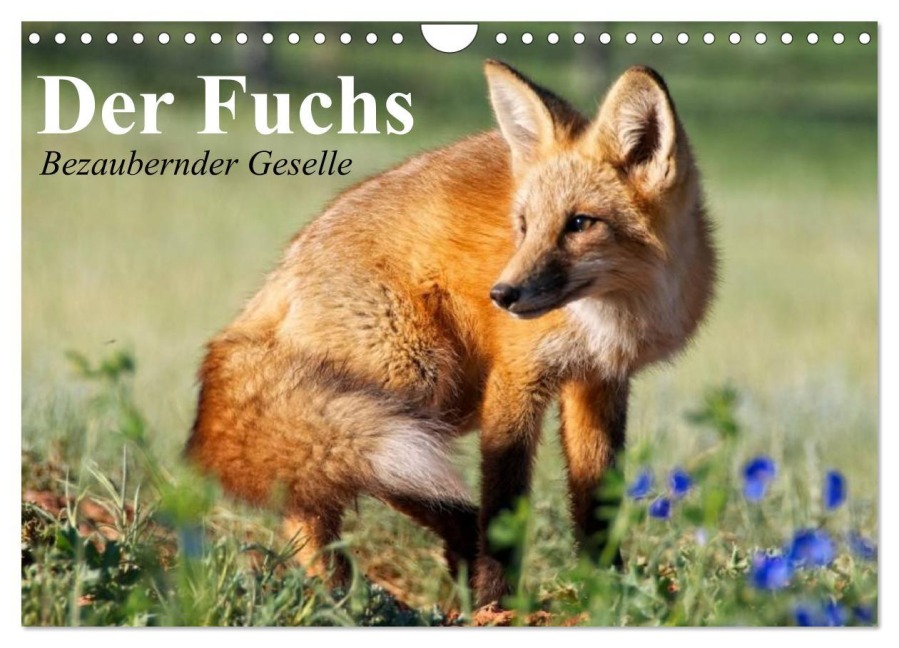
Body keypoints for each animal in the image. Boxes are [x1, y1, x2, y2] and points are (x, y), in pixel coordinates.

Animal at [185, 60, 717, 607]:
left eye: (580, 223)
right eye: (524, 225)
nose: (502, 295)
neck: (611, 317)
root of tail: (281, 273)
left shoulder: (598, 382)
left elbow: (598, 505)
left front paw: (609, 592)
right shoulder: (515, 379)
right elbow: (505, 501)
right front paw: (498, 603)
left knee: (313, 489)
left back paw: (354, 591)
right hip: (418, 384)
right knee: (328, 486)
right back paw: (355, 594)